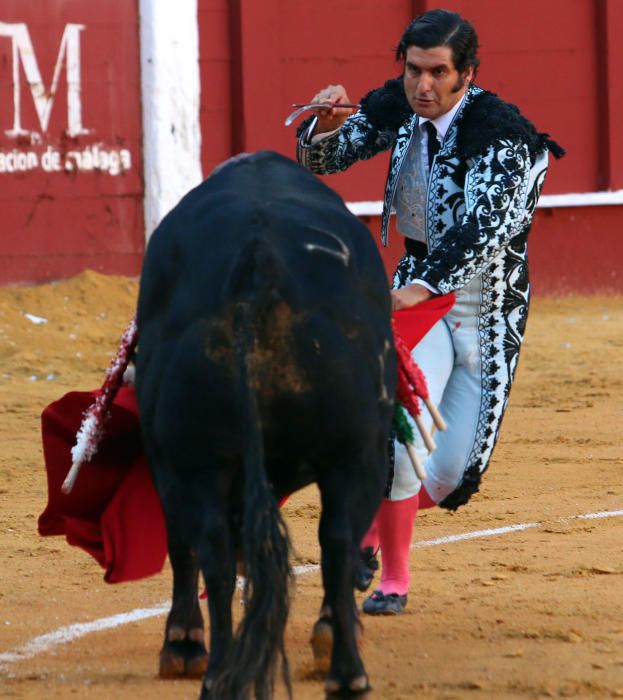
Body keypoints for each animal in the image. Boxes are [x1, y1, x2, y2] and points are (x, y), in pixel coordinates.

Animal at [136, 150, 398, 696]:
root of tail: (258, 267)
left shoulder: (170, 458)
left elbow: (184, 542)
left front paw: (184, 643)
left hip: (196, 459)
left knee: (214, 547)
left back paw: (214, 668)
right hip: (353, 454)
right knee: (336, 540)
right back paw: (343, 668)